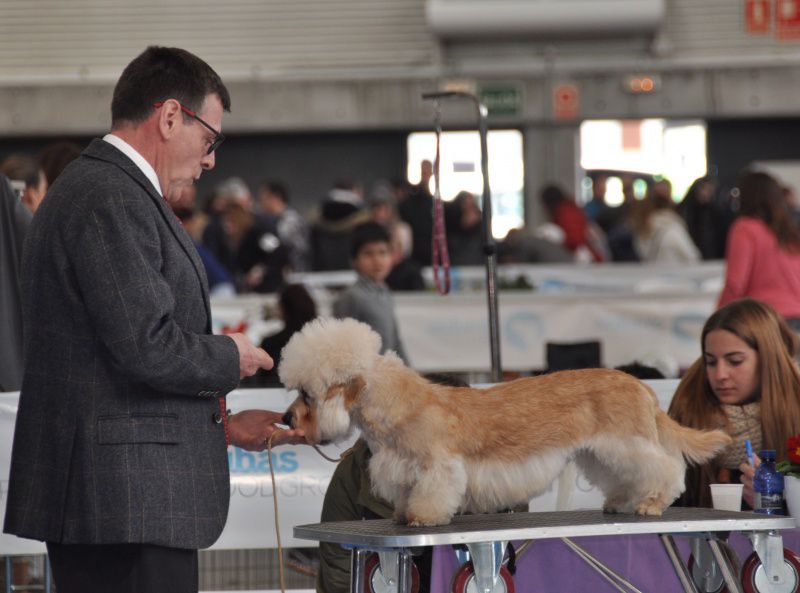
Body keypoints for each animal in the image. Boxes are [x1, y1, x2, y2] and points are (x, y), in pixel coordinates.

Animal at [280, 316, 732, 524]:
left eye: (307, 393)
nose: (286, 418)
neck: (399, 407)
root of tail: (641, 387)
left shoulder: (438, 467)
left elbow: (432, 494)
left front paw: (423, 517)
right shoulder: (404, 470)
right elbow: (406, 496)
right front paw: (404, 515)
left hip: (624, 443)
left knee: (665, 468)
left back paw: (651, 503)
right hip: (599, 451)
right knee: (625, 476)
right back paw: (621, 502)